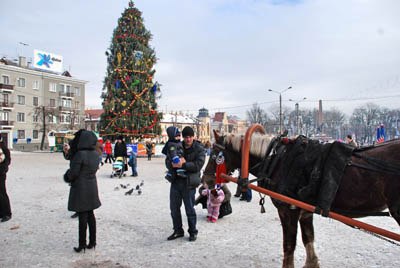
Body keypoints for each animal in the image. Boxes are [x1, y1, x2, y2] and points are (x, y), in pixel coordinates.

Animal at [203, 131, 400, 268]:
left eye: (215, 155)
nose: (206, 179)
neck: (277, 160)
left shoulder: (287, 210)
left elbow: (289, 244)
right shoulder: (305, 211)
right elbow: (308, 239)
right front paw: (312, 263)